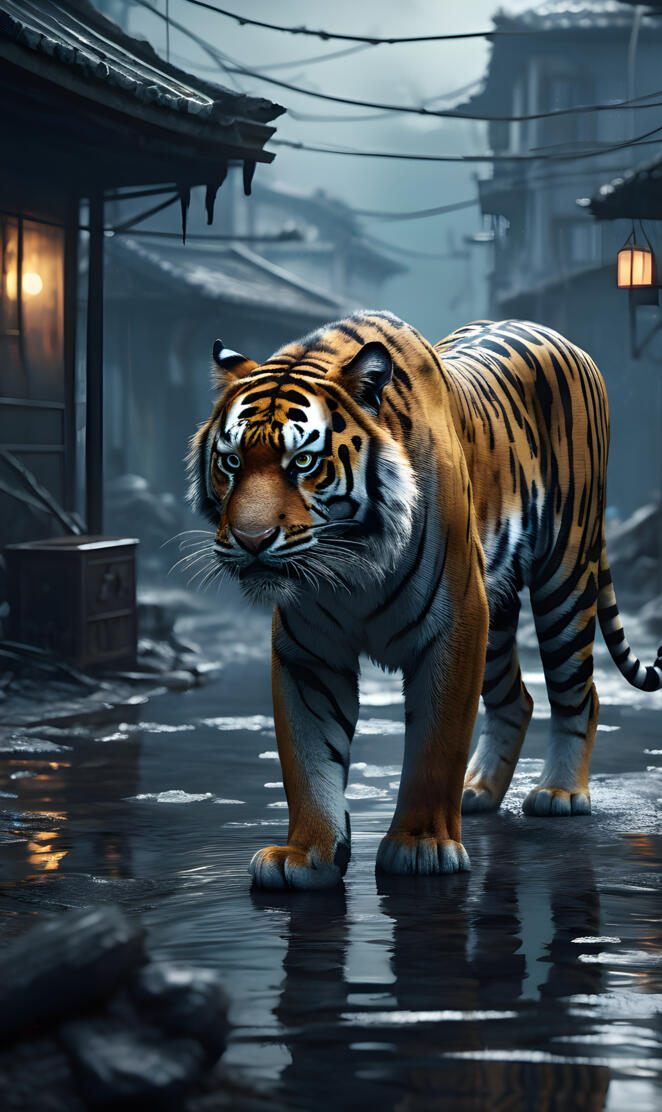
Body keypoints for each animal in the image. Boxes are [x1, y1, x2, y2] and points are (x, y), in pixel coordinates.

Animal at [188, 310, 662, 890]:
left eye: (302, 462)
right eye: (232, 462)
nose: (251, 541)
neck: (351, 563)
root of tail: (562, 337)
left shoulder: (455, 625)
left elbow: (436, 746)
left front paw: (421, 847)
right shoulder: (309, 650)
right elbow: (308, 756)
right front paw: (306, 854)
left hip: (564, 576)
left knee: (579, 691)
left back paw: (560, 792)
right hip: (497, 616)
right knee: (516, 699)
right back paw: (478, 790)